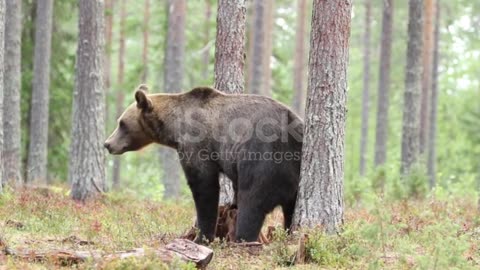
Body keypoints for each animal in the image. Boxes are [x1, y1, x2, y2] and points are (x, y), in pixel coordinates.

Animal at [104, 85, 304, 243]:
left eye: (121, 123)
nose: (107, 144)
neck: (175, 129)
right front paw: (230, 207)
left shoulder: (197, 145)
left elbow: (204, 187)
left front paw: (202, 236)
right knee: (288, 210)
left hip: (267, 158)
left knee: (253, 200)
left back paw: (243, 238)